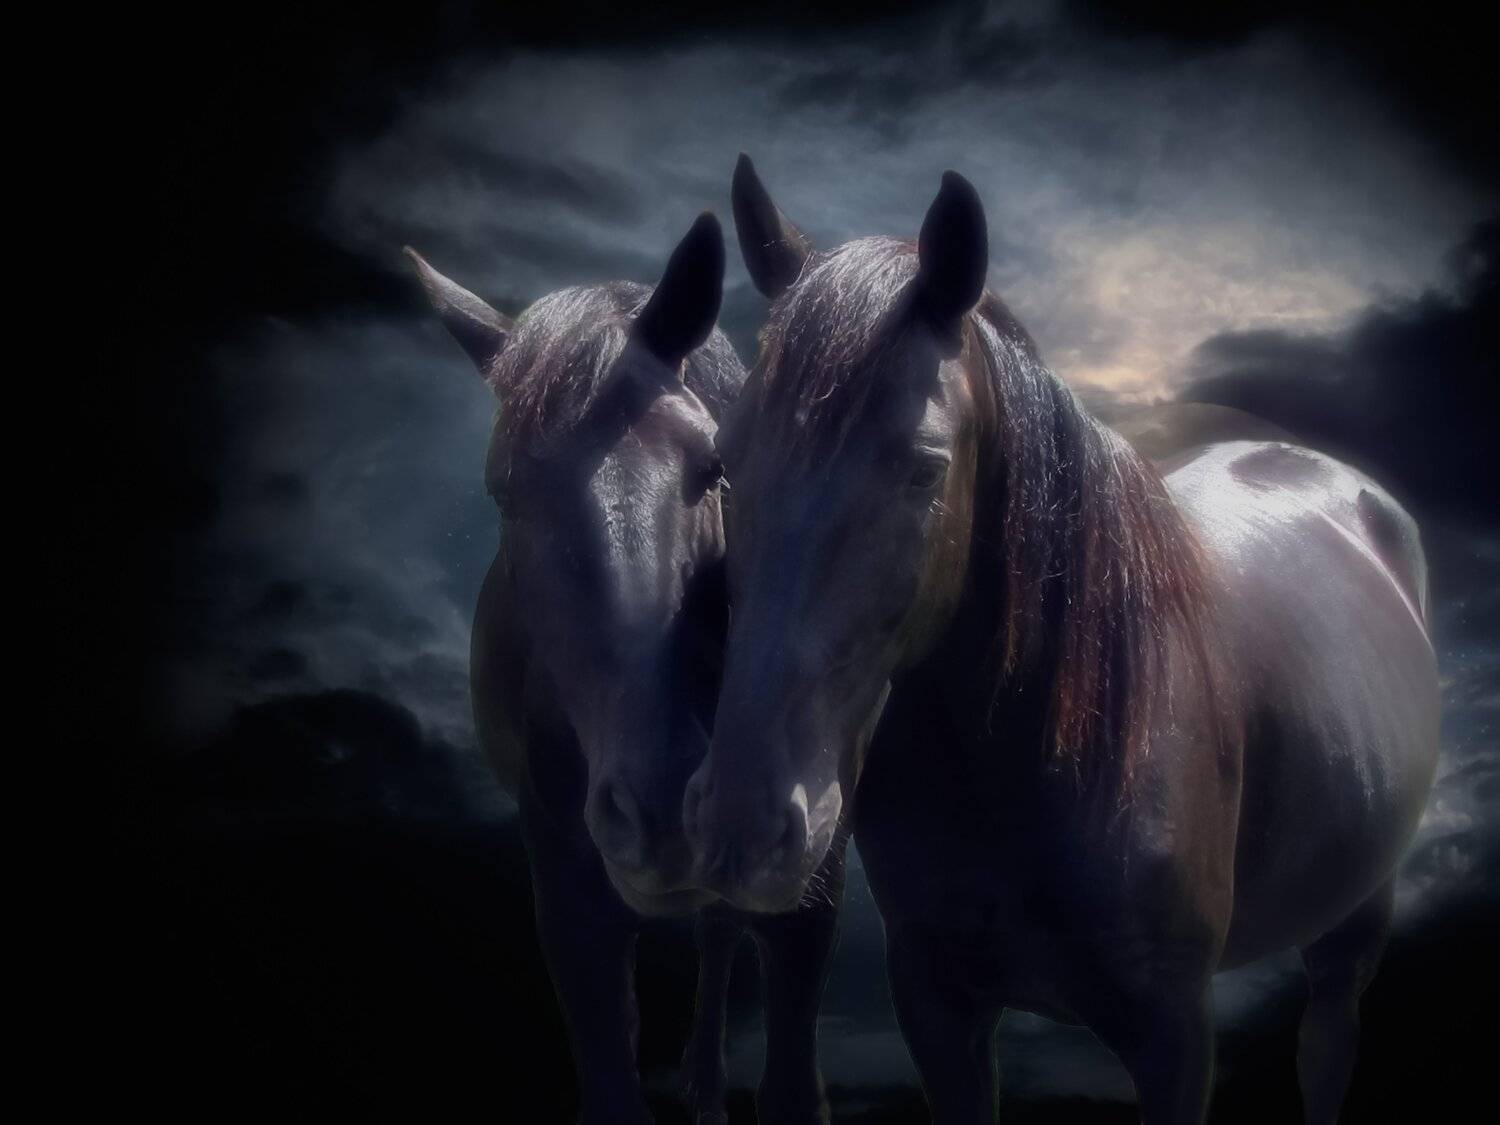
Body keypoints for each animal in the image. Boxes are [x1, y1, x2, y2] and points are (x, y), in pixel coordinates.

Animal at [409, 213, 844, 1125]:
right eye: (505, 496)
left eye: (711, 469)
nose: (663, 812)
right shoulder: (571, 914)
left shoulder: (809, 903)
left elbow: (791, 1083)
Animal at [683, 156, 1440, 1124]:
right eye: (726, 459)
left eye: (923, 467)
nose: (740, 825)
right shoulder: (937, 1005)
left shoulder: (1174, 1034)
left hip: (1354, 918)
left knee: (1329, 1044)